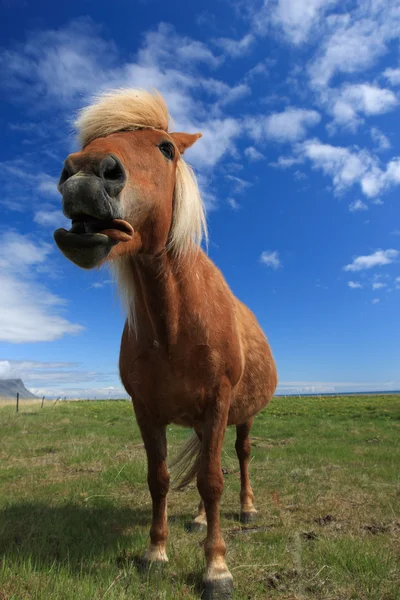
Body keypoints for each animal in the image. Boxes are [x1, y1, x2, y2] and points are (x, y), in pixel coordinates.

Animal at [54, 90, 278, 600]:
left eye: (166, 148)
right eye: (89, 144)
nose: (84, 174)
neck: (174, 324)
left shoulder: (218, 402)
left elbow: (213, 482)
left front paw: (216, 568)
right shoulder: (146, 410)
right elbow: (161, 479)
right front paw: (155, 552)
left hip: (241, 416)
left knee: (239, 459)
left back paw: (248, 509)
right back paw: (195, 521)